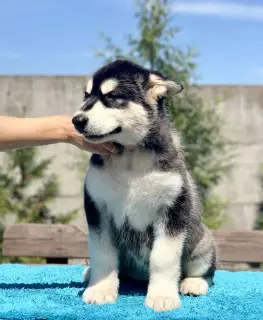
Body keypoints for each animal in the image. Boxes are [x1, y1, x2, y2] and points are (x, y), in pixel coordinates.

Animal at [72, 60, 217, 312]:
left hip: (204, 243)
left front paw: (162, 295)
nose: (77, 120)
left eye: (113, 97)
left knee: (205, 271)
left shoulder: (172, 208)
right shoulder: (97, 207)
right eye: (86, 96)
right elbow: (102, 252)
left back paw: (194, 283)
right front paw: (101, 288)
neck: (130, 157)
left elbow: (164, 257)